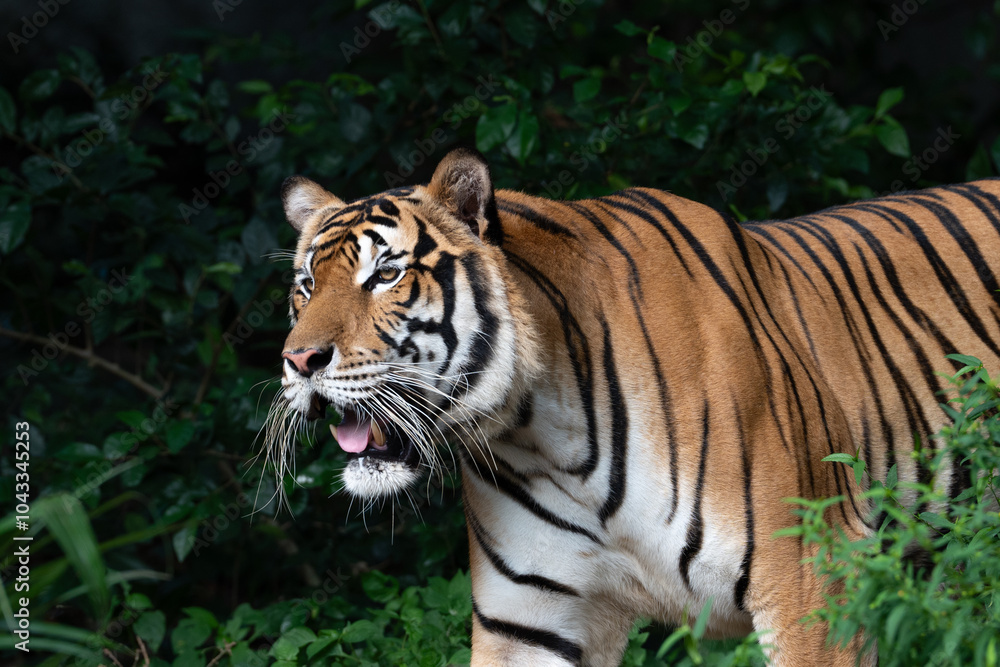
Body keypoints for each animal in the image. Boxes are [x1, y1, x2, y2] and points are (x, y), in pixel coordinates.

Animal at [268, 146, 1000, 666]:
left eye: (386, 274)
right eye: (305, 285)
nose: (300, 360)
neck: (543, 433)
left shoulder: (811, 577)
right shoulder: (527, 619)